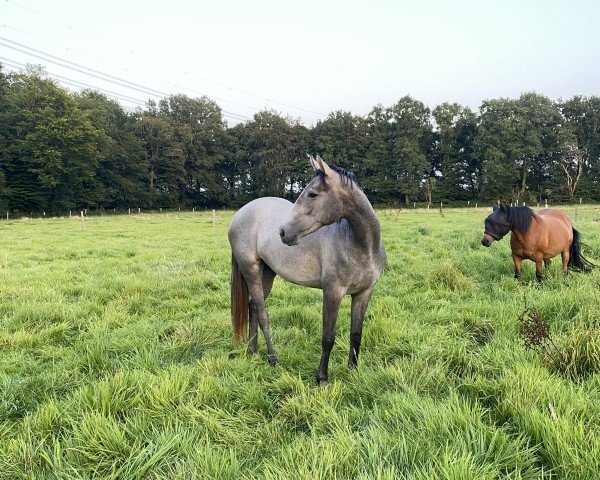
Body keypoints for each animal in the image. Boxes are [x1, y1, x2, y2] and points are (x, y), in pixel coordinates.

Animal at [227, 156, 386, 384]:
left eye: (312, 194)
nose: (283, 232)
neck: (362, 246)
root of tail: (240, 214)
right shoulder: (333, 292)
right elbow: (328, 337)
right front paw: (322, 378)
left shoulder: (364, 293)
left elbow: (356, 333)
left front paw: (353, 371)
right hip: (251, 270)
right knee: (263, 313)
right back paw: (272, 359)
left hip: (267, 272)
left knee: (253, 307)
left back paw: (253, 351)